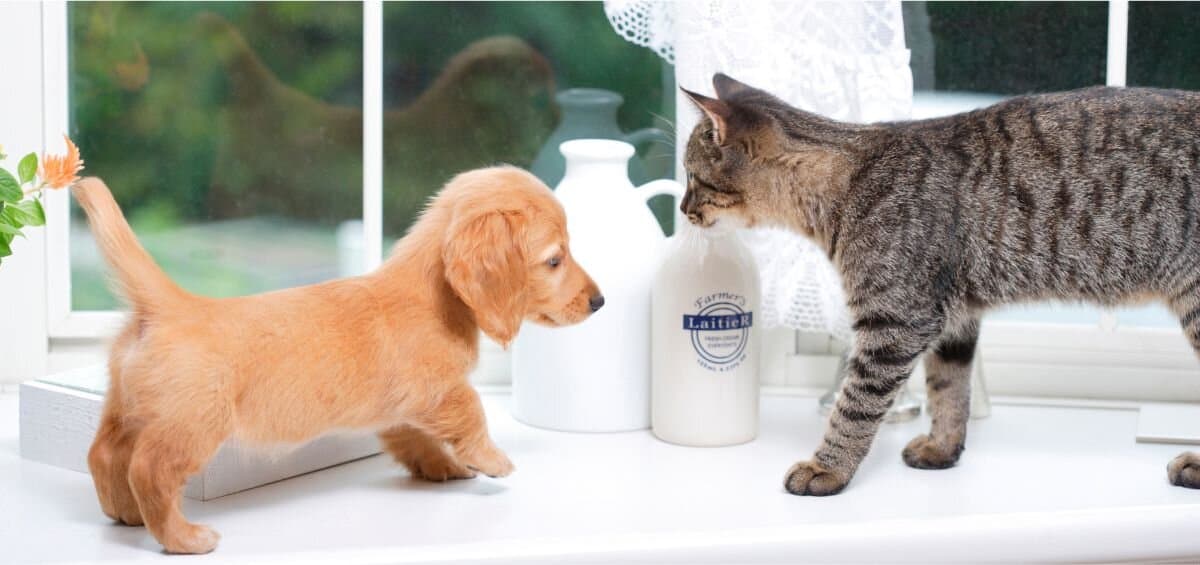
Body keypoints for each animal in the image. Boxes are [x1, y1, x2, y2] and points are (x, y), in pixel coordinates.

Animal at [76, 165, 604, 554]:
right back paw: (182, 537)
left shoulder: (402, 411)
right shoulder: (441, 391)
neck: (431, 296)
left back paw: (124, 513)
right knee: (149, 471)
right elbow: (472, 414)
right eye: (555, 259)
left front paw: (444, 467)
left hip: (126, 410)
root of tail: (169, 306)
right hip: (191, 427)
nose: (599, 302)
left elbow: (416, 440)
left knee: (104, 454)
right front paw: (492, 460)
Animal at [681, 74, 1200, 494]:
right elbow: (948, 389)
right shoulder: (954, 318)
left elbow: (854, 405)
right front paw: (942, 448)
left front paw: (827, 468)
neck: (847, 181)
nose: (684, 210)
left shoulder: (896, 321)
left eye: (690, 176)